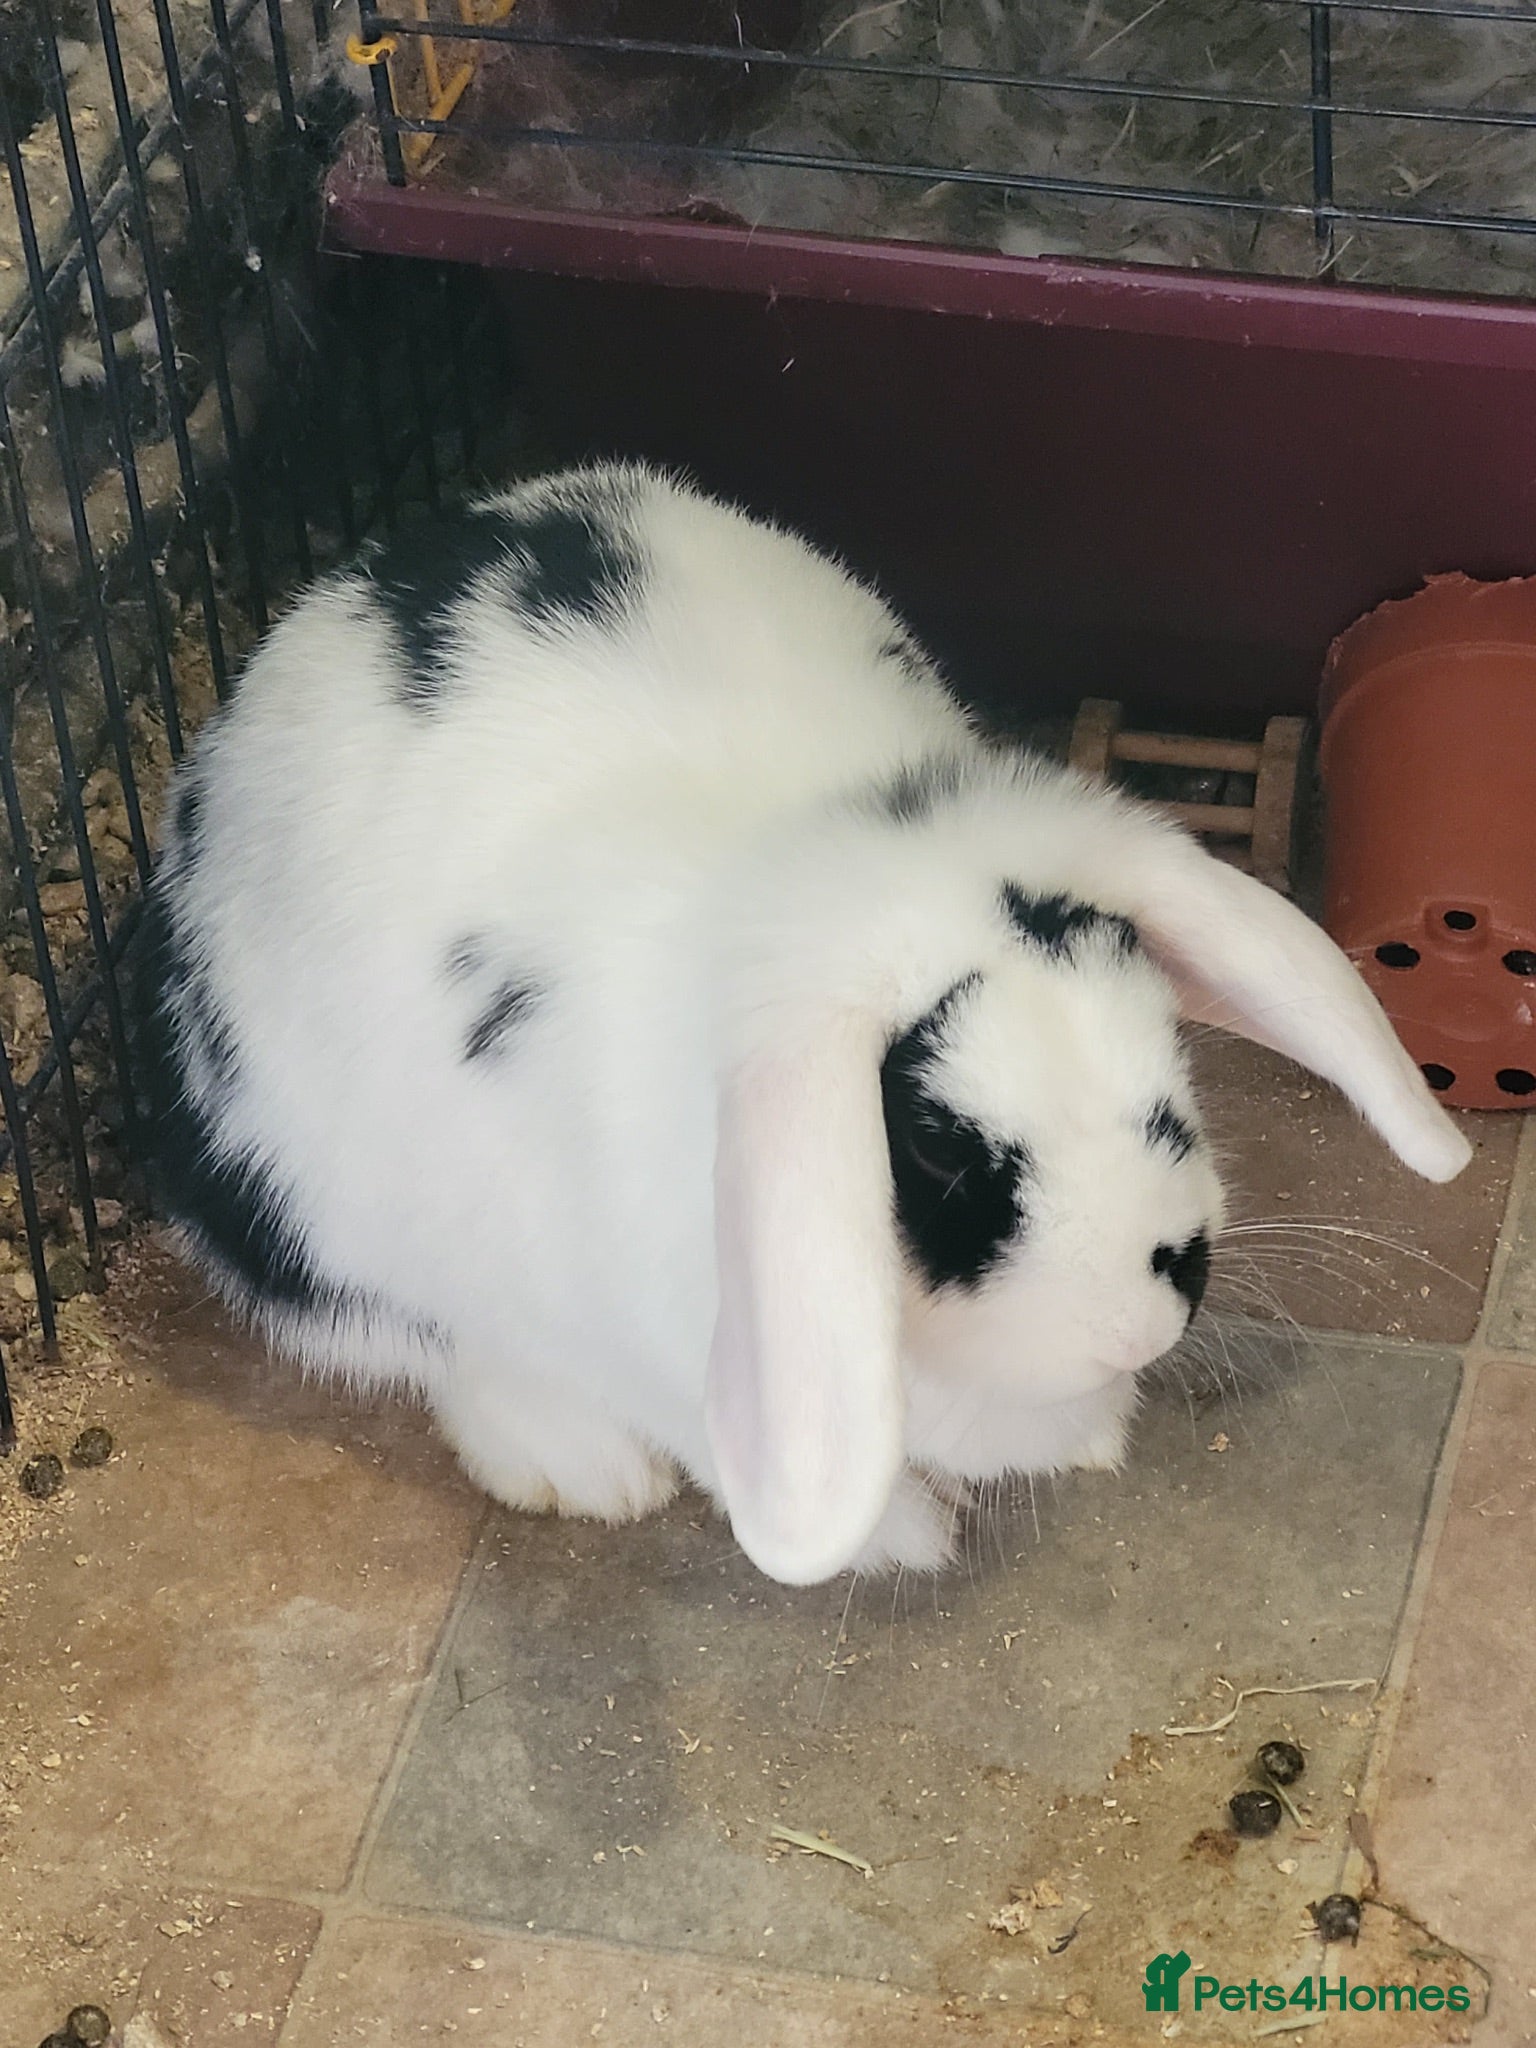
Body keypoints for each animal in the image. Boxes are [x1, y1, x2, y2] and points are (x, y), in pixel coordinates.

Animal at [132, 460, 1471, 1587]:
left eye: (1168, 1069)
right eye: (934, 1147)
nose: (1134, 1326)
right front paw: (904, 1533)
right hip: (308, 1207)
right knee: (425, 1340)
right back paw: (583, 1470)